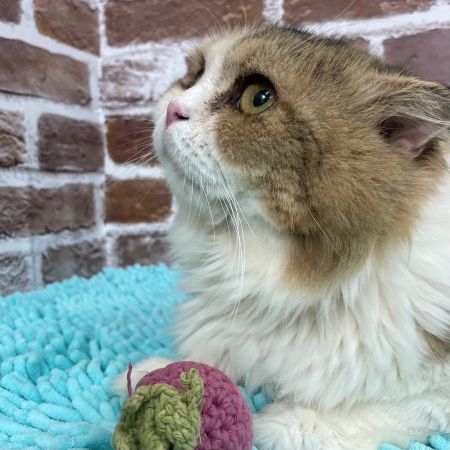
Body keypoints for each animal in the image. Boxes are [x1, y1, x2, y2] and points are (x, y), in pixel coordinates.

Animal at [114, 25, 450, 450]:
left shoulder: (435, 384)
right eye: (194, 75)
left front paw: (286, 423)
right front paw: (151, 370)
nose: (173, 108)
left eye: (259, 97)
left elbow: (394, 409)